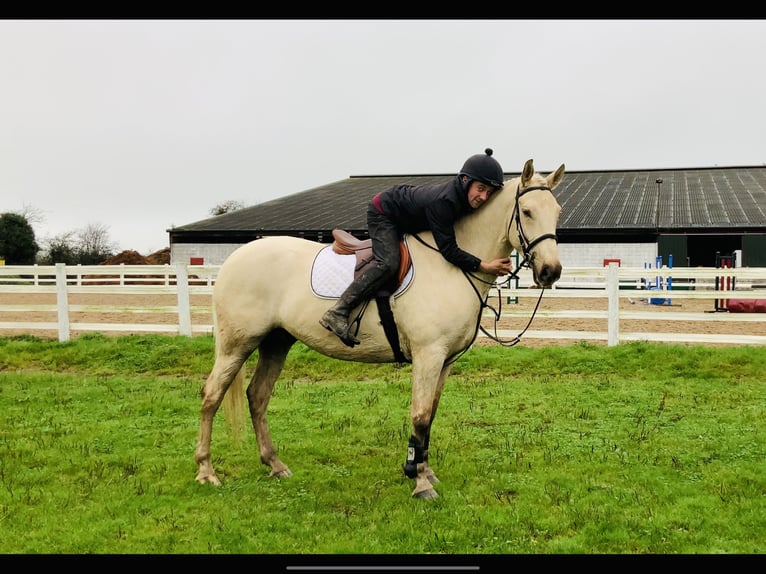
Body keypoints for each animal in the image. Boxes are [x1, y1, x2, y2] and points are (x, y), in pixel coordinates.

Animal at [194, 158, 566, 499]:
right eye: (527, 212)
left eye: (557, 212)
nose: (551, 271)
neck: (452, 265)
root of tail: (235, 258)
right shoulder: (428, 355)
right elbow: (419, 415)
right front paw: (420, 483)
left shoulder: (444, 361)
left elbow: (430, 415)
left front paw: (423, 471)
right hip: (236, 345)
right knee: (211, 396)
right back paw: (206, 471)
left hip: (276, 342)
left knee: (257, 396)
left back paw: (274, 464)